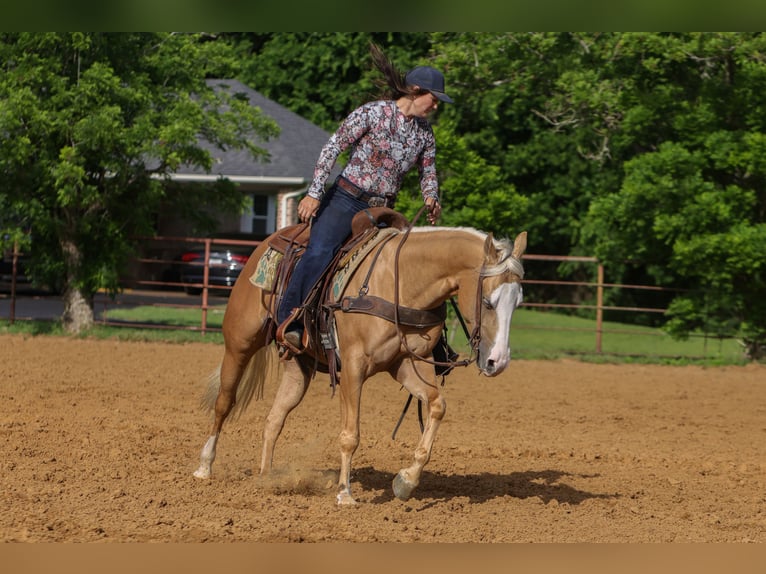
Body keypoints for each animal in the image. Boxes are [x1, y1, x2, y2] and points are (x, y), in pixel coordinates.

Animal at [193, 218, 527, 505]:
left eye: (518, 302)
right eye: (488, 302)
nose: (498, 361)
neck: (399, 280)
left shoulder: (404, 364)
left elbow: (436, 404)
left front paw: (406, 481)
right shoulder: (353, 367)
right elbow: (350, 435)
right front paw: (345, 493)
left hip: (299, 366)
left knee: (274, 418)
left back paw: (266, 479)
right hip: (239, 344)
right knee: (224, 402)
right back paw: (204, 467)